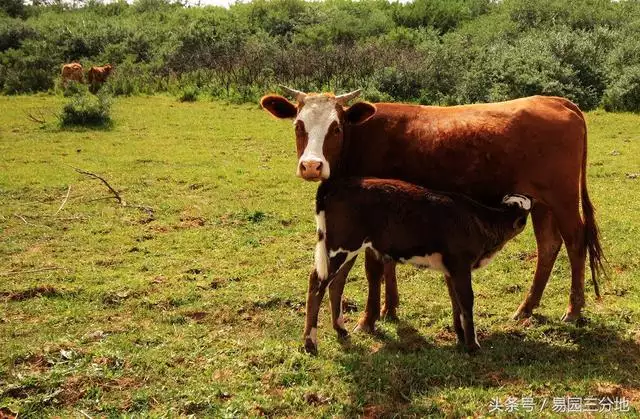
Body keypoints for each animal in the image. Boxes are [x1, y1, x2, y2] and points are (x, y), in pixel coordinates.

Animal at [260, 88, 604, 334]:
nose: (311, 166)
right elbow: (388, 263)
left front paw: (369, 320)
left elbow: (374, 269)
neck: (361, 136)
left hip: (562, 199)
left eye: (335, 128)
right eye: (298, 125)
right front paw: (390, 309)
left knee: (575, 243)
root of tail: (555, 100)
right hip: (541, 202)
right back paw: (526, 308)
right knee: (548, 246)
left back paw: (573, 310)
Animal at [302, 177, 532, 354]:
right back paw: (310, 343)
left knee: (336, 284)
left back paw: (340, 330)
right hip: (340, 247)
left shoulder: (451, 270)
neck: (479, 220)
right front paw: (473, 346)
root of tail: (337, 184)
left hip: (347, 249)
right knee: (317, 283)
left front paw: (459, 336)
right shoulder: (461, 265)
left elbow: (456, 302)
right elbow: (467, 302)